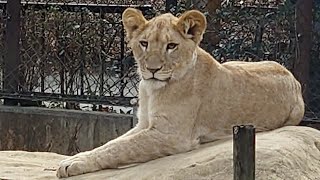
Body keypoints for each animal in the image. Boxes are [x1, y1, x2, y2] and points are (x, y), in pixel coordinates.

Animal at [56, 7, 304, 176]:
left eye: (171, 46)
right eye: (144, 43)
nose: (152, 69)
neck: (152, 90)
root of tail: (295, 79)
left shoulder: (171, 135)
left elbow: (121, 148)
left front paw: (73, 164)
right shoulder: (144, 124)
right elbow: (111, 143)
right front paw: (77, 157)